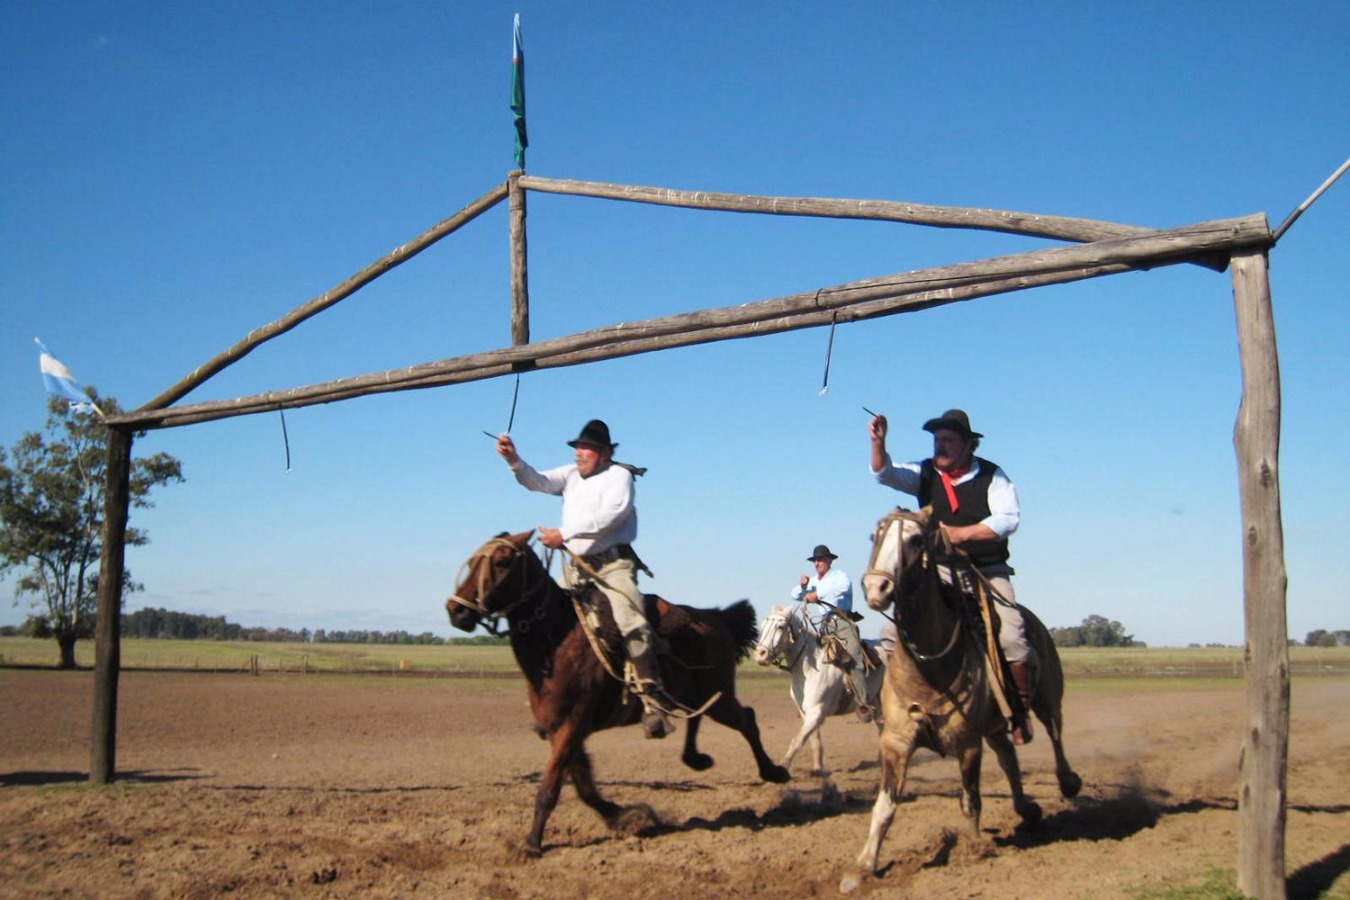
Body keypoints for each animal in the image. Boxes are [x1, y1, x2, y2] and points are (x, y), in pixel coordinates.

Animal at [442, 531, 788, 858]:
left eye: (502, 562)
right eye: (472, 562)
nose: (455, 610)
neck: (559, 641)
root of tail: (716, 617)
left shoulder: (572, 726)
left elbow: (550, 789)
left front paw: (531, 845)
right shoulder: (562, 731)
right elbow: (583, 785)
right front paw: (625, 816)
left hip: (721, 696)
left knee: (747, 720)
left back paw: (773, 771)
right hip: (698, 694)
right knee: (699, 717)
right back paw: (695, 757)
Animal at [750, 604, 885, 777]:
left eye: (780, 626)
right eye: (763, 626)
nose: (760, 654)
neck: (809, 669)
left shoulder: (816, 711)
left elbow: (797, 741)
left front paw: (781, 769)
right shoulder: (806, 713)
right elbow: (814, 740)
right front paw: (817, 770)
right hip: (877, 703)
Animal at [837, 507, 1080, 895]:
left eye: (915, 539)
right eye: (874, 536)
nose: (877, 588)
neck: (929, 665)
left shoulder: (968, 745)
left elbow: (971, 801)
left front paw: (975, 849)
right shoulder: (896, 741)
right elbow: (885, 806)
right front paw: (863, 867)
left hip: (1046, 698)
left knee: (1055, 732)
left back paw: (1068, 782)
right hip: (995, 726)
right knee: (1009, 759)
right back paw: (1026, 810)